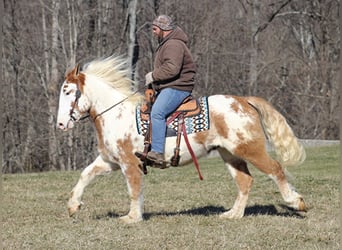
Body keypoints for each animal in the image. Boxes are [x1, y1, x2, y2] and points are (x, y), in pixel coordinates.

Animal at [56, 54, 308, 223]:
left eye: (67, 91)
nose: (60, 124)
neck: (116, 114)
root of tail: (244, 100)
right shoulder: (110, 160)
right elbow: (86, 175)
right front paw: (73, 206)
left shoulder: (130, 162)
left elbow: (134, 189)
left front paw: (132, 217)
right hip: (229, 154)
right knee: (245, 181)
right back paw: (233, 214)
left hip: (250, 149)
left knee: (276, 170)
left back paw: (296, 202)